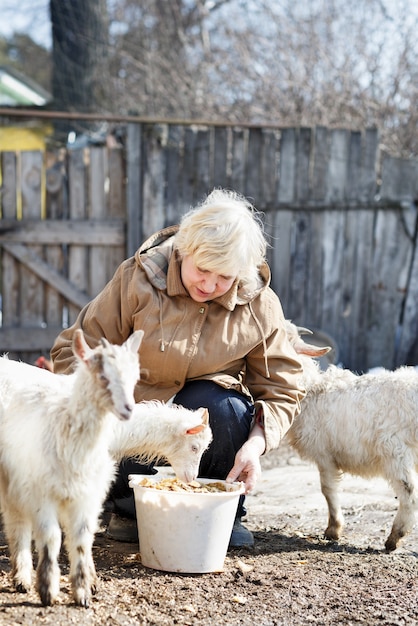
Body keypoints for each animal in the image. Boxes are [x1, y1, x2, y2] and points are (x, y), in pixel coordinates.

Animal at [286, 322, 418, 552]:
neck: (310, 390)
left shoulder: (324, 454)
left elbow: (328, 489)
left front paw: (333, 529)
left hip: (396, 452)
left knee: (409, 495)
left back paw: (394, 538)